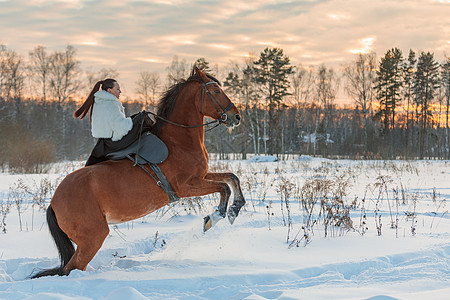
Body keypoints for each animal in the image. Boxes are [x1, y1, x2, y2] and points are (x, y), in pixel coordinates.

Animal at [32, 67, 246, 278]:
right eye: (216, 91)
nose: (236, 117)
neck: (178, 143)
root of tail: (54, 202)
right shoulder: (186, 186)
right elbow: (224, 188)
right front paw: (214, 218)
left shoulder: (201, 177)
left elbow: (232, 178)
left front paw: (235, 209)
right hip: (93, 238)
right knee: (71, 269)